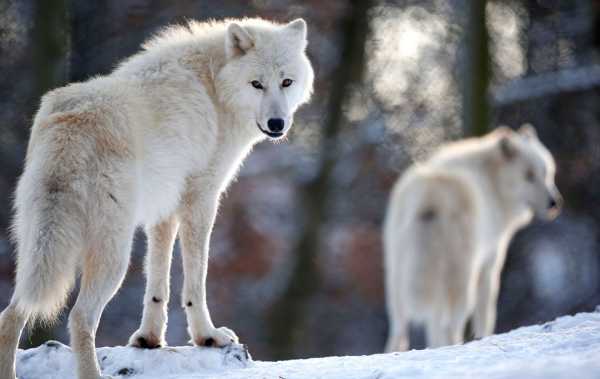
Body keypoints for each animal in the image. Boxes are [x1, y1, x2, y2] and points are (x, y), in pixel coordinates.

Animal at [0, 17, 314, 379]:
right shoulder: (201, 199)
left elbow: (157, 280)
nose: (277, 123)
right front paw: (207, 336)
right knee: (80, 317)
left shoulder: (164, 209)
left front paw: (148, 339)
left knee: (11, 314)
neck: (214, 86)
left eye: (287, 82)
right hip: (113, 256)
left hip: (38, 250)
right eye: (257, 84)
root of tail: (69, 128)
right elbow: (196, 280)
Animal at [386, 127, 560, 354]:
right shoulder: (489, 265)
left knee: (400, 330)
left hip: (399, 283)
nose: (554, 203)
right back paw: (454, 346)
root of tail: (430, 197)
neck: (492, 182)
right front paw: (485, 336)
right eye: (529, 176)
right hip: (461, 281)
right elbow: (486, 314)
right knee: (449, 325)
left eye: (547, 173)